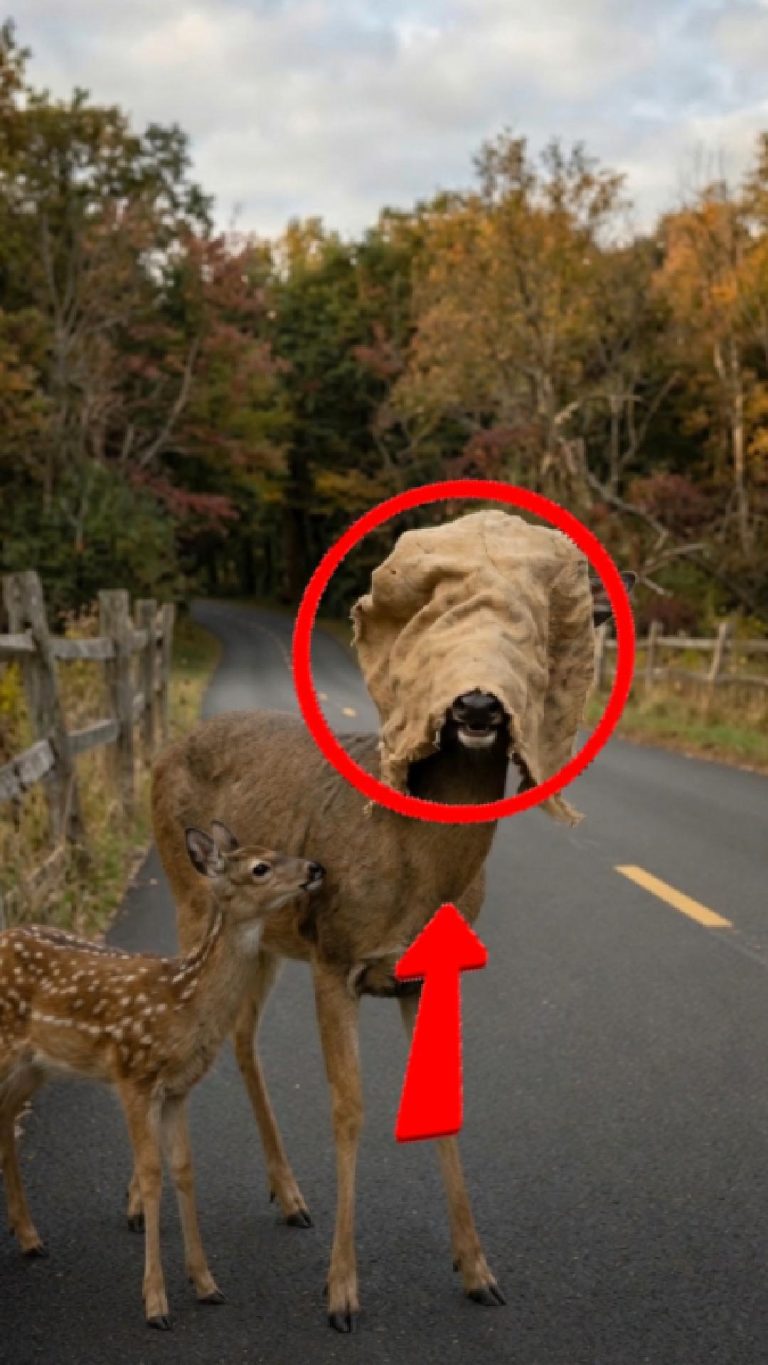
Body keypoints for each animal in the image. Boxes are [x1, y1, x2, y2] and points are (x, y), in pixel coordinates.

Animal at [0, 824, 324, 1330]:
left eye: (275, 850)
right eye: (260, 868)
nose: (315, 868)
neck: (184, 1002)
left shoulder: (177, 1089)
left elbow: (184, 1170)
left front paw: (206, 1284)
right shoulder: (132, 1076)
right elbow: (151, 1174)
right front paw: (155, 1303)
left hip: (35, 1066)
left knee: (5, 1120)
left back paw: (31, 1238)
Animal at [145, 569, 632, 1333]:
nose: (475, 704)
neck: (419, 866)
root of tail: (165, 749)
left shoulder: (416, 976)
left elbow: (441, 1105)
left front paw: (478, 1270)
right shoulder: (334, 957)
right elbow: (349, 1109)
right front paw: (342, 1291)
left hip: (264, 940)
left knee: (242, 1033)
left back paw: (289, 1195)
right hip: (191, 898)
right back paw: (144, 1210)